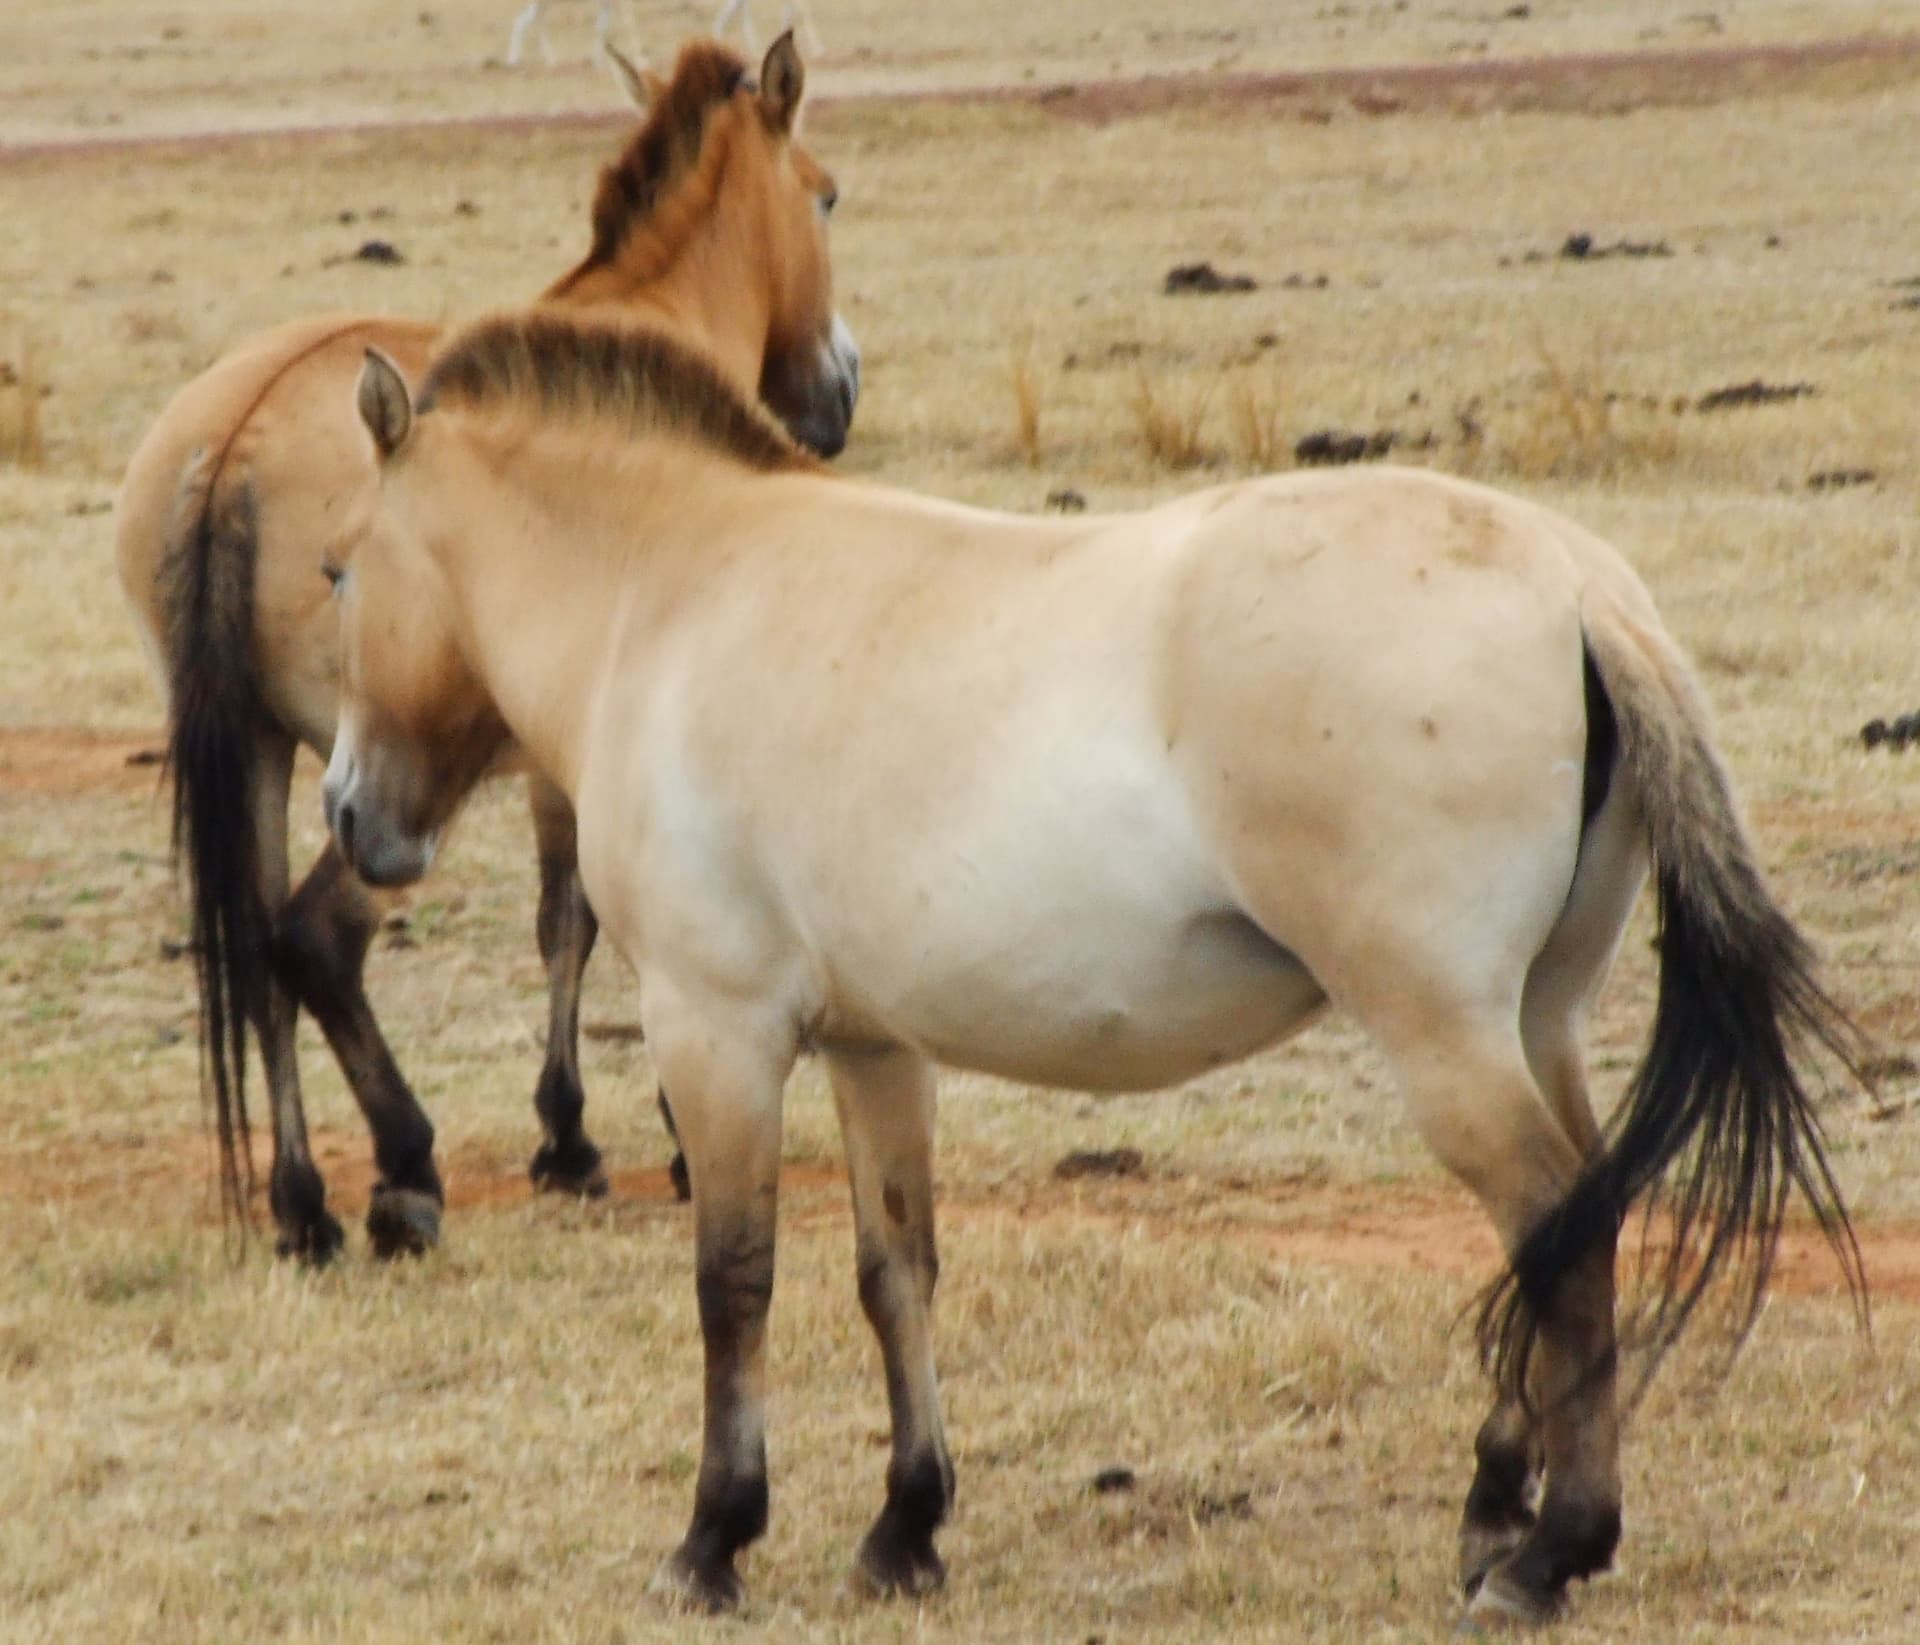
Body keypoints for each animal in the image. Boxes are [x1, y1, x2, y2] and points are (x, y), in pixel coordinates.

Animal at [114, 35, 858, 1263]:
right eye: (828, 195)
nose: (838, 391)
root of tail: (235, 443)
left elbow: (568, 921)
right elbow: (581, 923)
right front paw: (608, 1135)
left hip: (263, 751)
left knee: (256, 951)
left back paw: (303, 1201)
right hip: (392, 781)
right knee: (315, 938)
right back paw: (404, 1170)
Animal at [323, 311, 1865, 1626]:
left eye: (338, 568)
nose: (347, 817)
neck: (676, 595)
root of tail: (1577, 585)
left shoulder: (717, 1033)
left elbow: (734, 1283)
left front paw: (714, 1539)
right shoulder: (876, 1046)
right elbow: (897, 1271)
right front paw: (905, 1526)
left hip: (1443, 1032)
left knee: (1561, 1227)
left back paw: (1551, 1552)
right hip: (1539, 1016)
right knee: (1569, 1216)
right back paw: (1502, 1509)